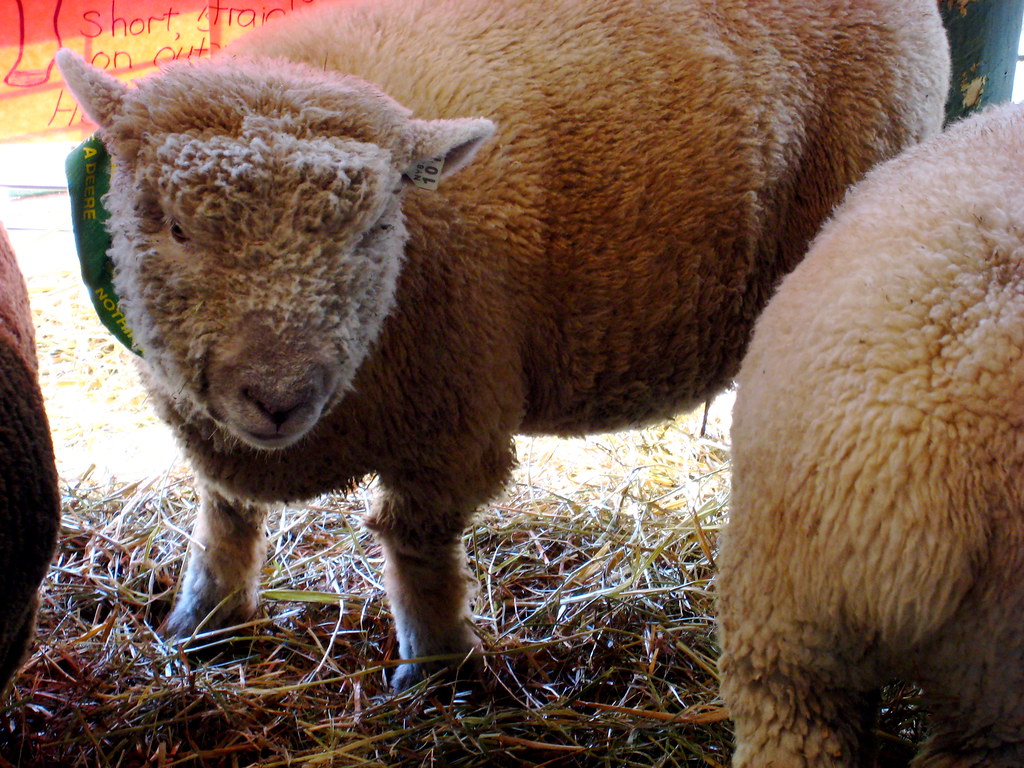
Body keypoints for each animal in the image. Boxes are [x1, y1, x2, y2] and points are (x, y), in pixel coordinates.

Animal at [55, 0, 949, 691]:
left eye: (373, 229)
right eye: (175, 228)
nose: (278, 399)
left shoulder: (452, 420)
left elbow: (416, 546)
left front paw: (437, 671)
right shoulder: (210, 423)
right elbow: (225, 513)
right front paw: (203, 622)